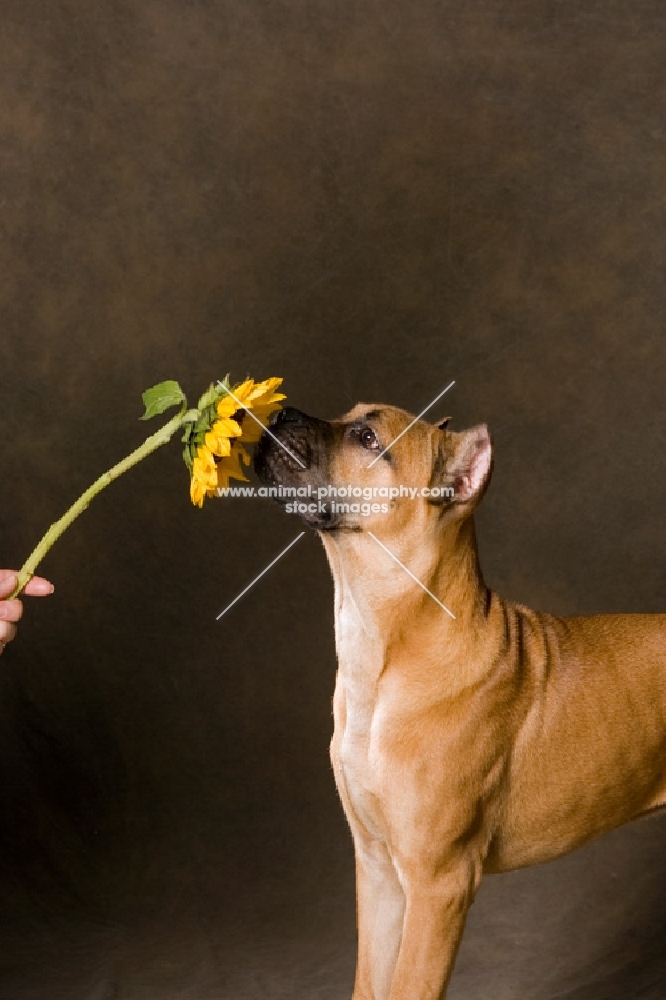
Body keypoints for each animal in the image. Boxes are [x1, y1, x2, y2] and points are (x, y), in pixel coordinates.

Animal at [253, 402, 664, 996]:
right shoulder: (377, 870)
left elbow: (410, 986)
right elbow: (370, 982)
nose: (282, 411)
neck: (382, 651)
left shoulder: (438, 884)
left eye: (367, 437)